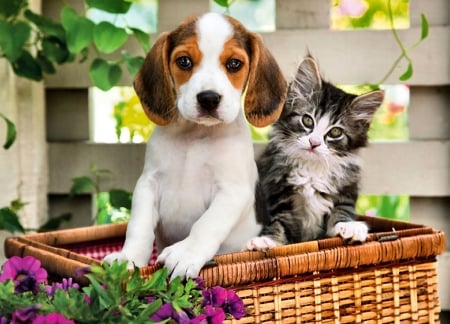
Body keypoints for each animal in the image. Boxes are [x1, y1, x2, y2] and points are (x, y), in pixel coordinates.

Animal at [103, 13, 286, 278]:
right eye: (184, 61)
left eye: (234, 64)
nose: (208, 98)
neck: (195, 135)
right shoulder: (148, 183)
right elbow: (139, 226)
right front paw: (128, 258)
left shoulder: (231, 191)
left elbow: (206, 224)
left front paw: (185, 254)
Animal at [250, 57, 384, 251]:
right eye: (307, 120)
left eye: (335, 132)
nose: (314, 143)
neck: (311, 169)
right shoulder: (276, 193)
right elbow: (281, 223)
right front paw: (266, 240)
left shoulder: (346, 192)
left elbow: (340, 211)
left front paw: (350, 227)